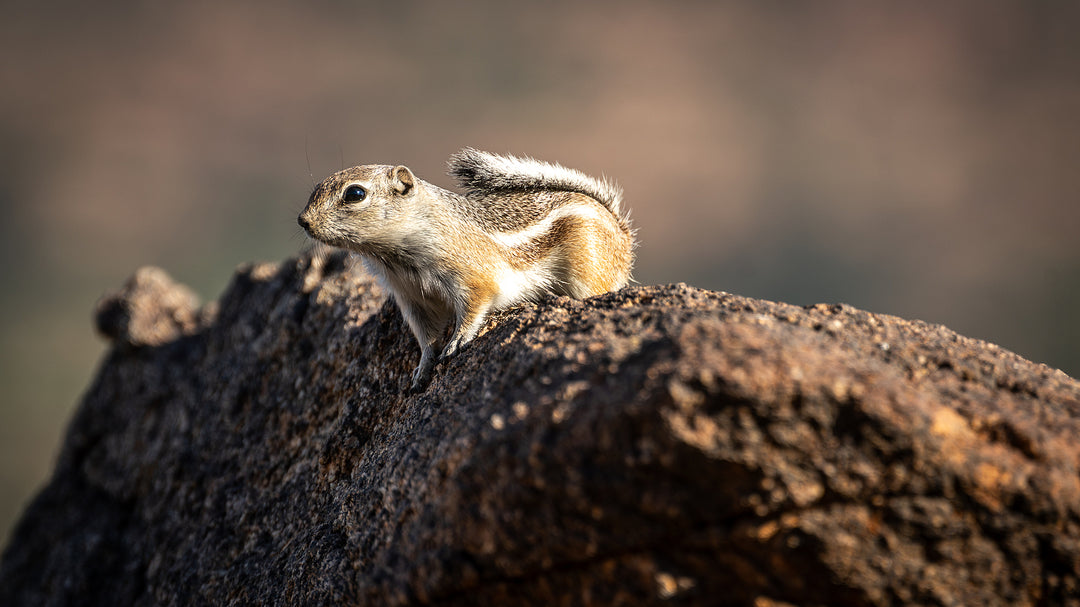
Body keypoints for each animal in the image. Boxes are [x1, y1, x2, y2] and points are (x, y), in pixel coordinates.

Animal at [298, 148, 635, 390]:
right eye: (316, 189)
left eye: (354, 194)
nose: (303, 221)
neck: (396, 257)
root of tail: (623, 234)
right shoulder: (412, 299)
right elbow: (425, 337)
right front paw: (422, 367)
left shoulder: (472, 277)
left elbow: (474, 307)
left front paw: (457, 340)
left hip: (586, 271)